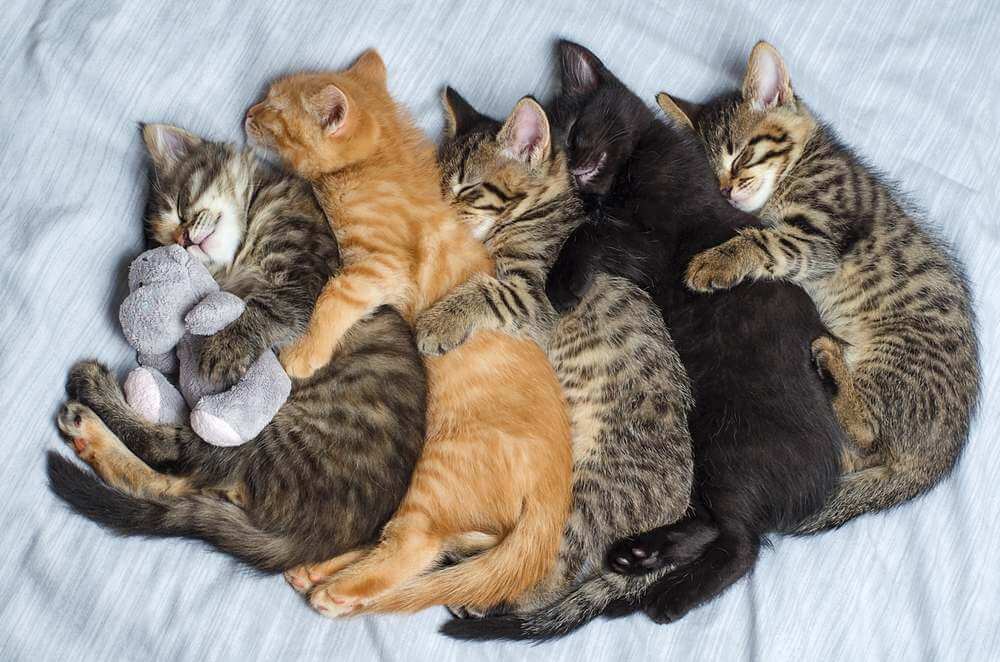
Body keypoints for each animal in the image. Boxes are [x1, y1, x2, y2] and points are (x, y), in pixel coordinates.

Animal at [47, 124, 426, 572]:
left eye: (179, 206)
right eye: (167, 241)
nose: (184, 238)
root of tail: (318, 540)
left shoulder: (303, 277)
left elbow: (262, 309)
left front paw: (222, 348)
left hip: (272, 435)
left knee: (177, 458)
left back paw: (91, 402)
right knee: (178, 479)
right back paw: (88, 428)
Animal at [243, 50, 576, 616]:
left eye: (274, 109)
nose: (248, 112)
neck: (380, 165)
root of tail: (557, 496)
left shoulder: (379, 266)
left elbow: (334, 297)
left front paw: (303, 354)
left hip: (437, 473)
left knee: (413, 546)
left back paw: (336, 591)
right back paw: (318, 570)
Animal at [418, 91, 692, 640]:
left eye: (469, 190)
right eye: (439, 186)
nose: (438, 213)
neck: (540, 208)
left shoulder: (534, 294)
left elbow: (483, 288)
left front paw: (438, 321)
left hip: (587, 495)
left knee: (542, 572)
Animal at [552, 42, 848, 628]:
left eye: (575, 126)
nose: (571, 163)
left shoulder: (658, 243)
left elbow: (590, 232)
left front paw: (561, 285)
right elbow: (592, 226)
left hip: (728, 447)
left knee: (741, 544)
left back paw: (669, 597)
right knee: (718, 526)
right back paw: (639, 556)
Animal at [660, 40, 980, 536]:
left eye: (741, 156)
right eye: (709, 173)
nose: (727, 191)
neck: (803, 162)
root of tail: (940, 455)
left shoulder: (818, 235)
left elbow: (764, 241)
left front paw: (715, 262)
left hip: (894, 359)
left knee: (865, 431)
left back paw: (828, 360)